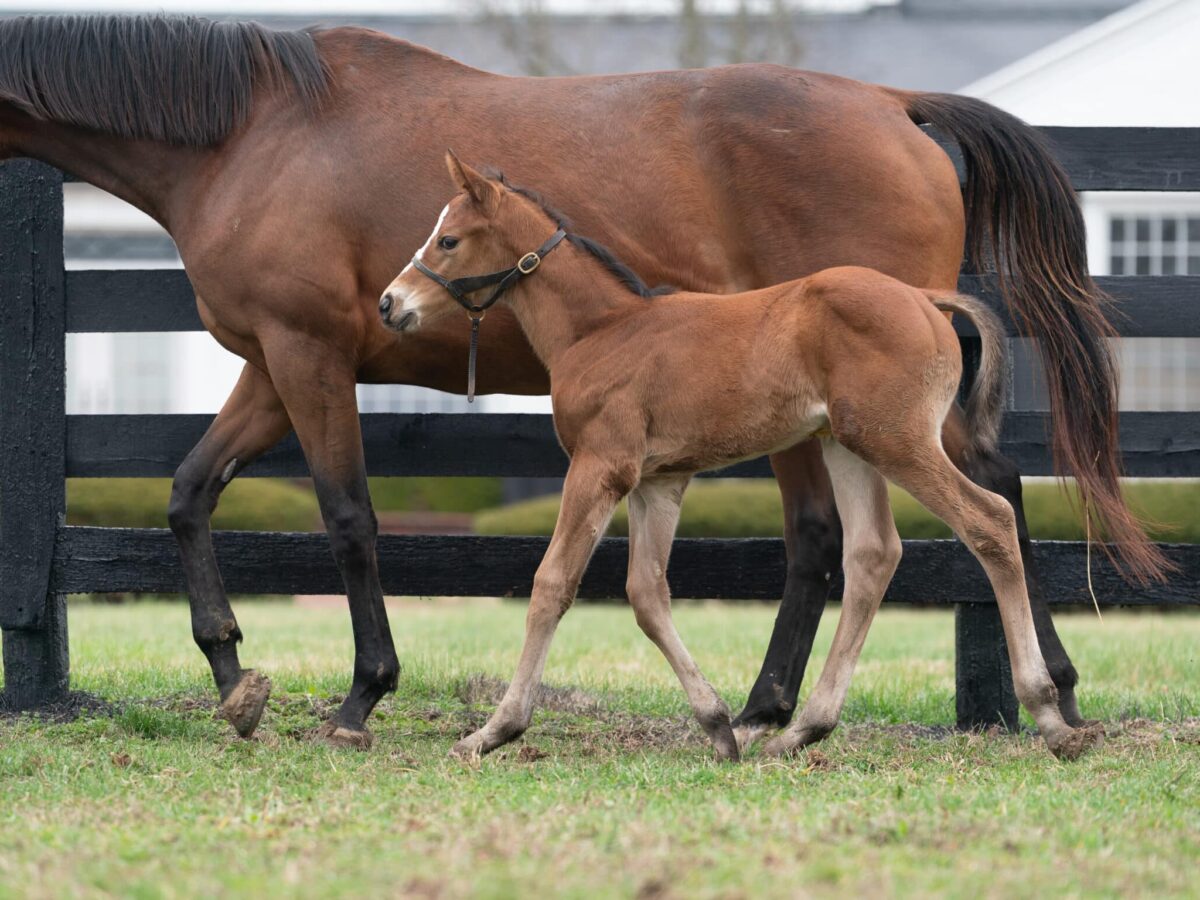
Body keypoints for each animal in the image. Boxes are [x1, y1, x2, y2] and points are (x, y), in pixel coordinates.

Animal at [379, 158, 1108, 763]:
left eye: (449, 240)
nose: (390, 303)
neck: (603, 329)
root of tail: (923, 298)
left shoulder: (600, 466)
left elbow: (552, 583)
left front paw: (494, 730)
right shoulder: (659, 482)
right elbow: (646, 593)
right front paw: (717, 725)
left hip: (897, 441)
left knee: (989, 519)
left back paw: (1050, 716)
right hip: (848, 444)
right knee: (874, 553)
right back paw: (803, 729)